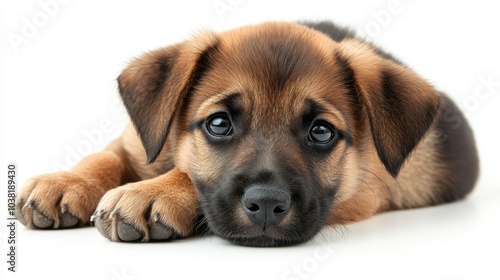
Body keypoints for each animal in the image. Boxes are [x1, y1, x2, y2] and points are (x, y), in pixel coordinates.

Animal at [15, 20, 478, 246]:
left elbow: (187, 174)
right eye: (219, 123)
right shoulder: (138, 142)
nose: (268, 205)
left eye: (321, 132)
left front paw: (154, 192)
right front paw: (67, 181)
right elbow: (105, 155)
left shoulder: (365, 190)